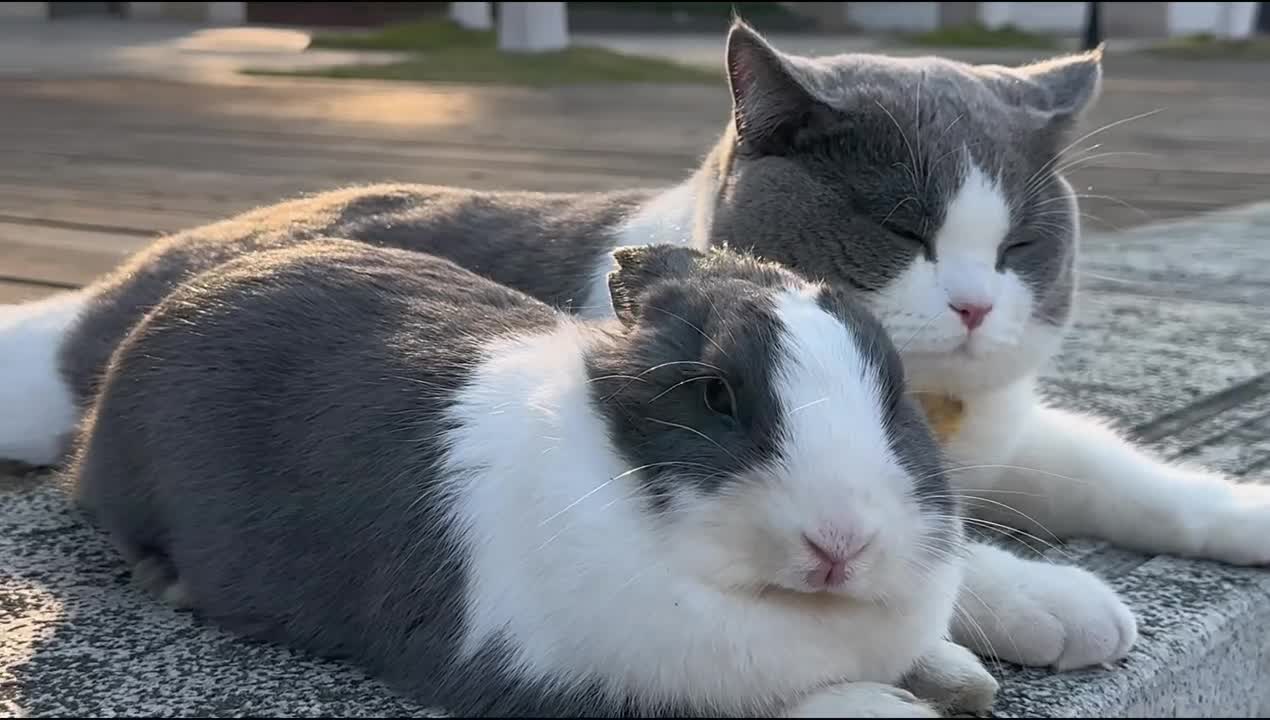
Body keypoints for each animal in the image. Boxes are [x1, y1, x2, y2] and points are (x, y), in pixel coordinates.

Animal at [4, 21, 1264, 675]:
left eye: (1017, 247)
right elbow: (931, 543)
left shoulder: (1012, 428)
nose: (969, 308)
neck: (949, 413)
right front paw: (1049, 598)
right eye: (897, 230)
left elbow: (1115, 468)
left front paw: (1240, 514)